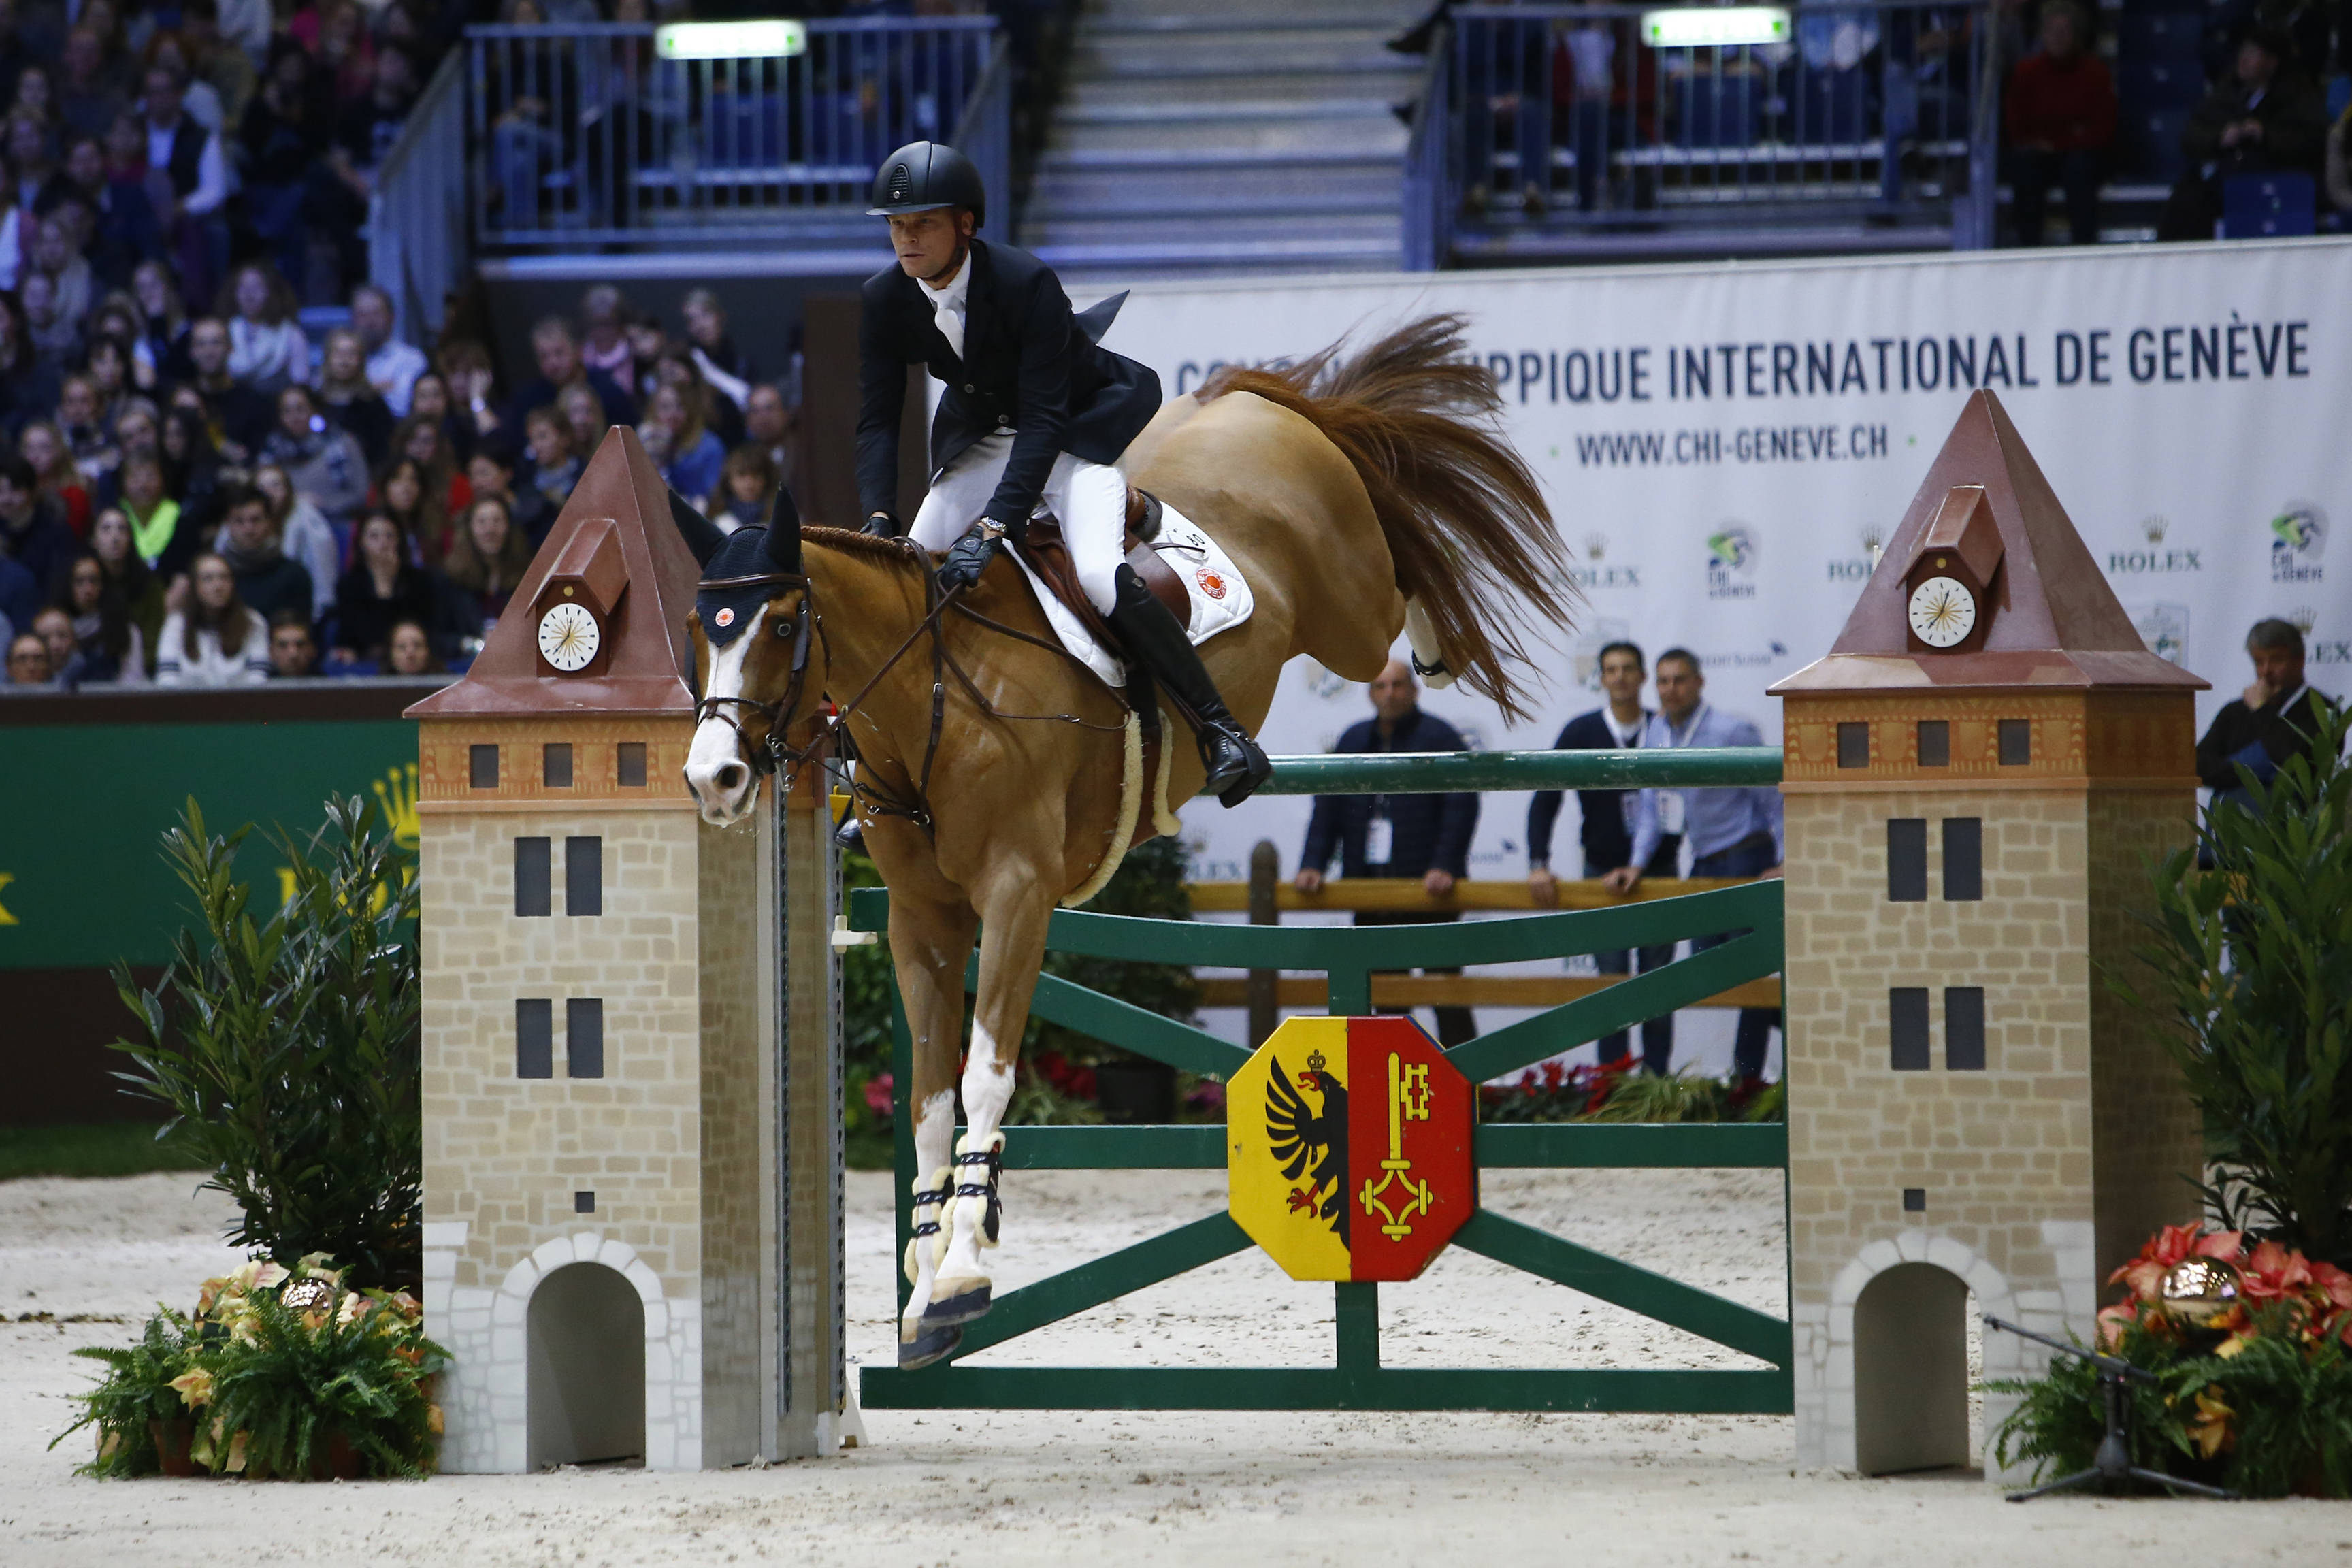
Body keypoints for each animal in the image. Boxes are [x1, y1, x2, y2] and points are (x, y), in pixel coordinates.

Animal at [672, 312, 1571, 1363]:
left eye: (780, 624)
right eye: (699, 627)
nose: (715, 779)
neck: (932, 698)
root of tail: (1244, 403)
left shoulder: (1018, 895)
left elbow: (985, 1076)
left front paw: (965, 1273)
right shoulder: (920, 919)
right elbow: (930, 1104)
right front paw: (924, 1287)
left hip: (1346, 609)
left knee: (1399, 565)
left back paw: (1433, 649)